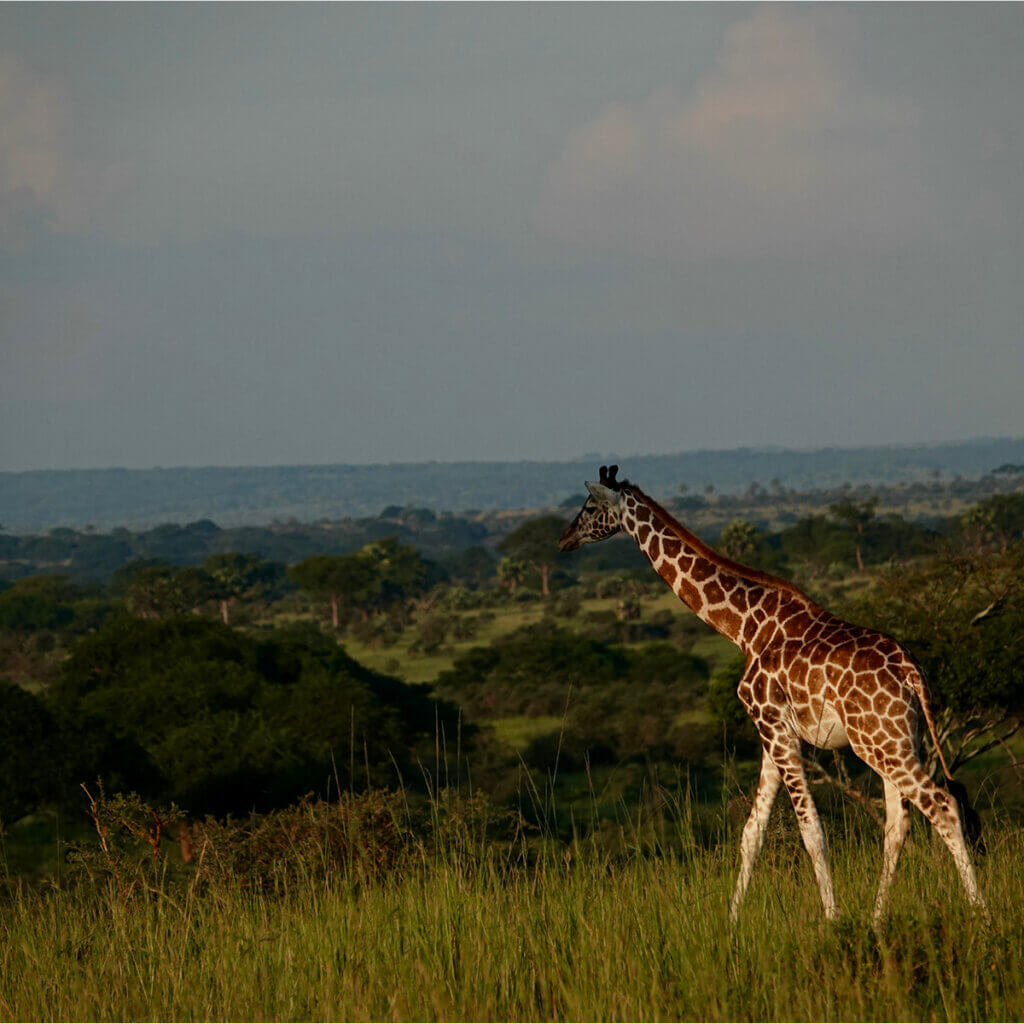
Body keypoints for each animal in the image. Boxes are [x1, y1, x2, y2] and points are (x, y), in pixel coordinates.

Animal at [558, 465, 985, 922]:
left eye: (589, 507)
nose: (564, 539)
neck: (744, 626)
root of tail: (910, 671)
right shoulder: (773, 734)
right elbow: (752, 832)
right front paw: (732, 923)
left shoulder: (774, 727)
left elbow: (811, 829)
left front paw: (832, 921)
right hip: (899, 740)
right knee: (898, 823)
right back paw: (876, 920)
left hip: (879, 742)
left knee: (942, 805)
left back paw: (981, 913)